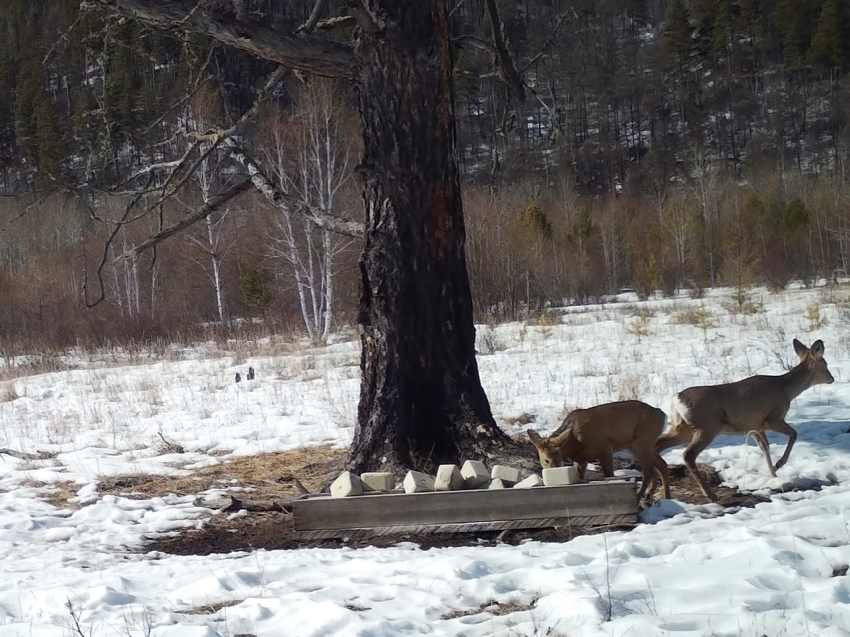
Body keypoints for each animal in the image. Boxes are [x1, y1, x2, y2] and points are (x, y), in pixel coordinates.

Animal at [524, 400, 668, 504]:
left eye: (558, 458)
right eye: (545, 460)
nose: (552, 470)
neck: (575, 441)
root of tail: (662, 415)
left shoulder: (604, 447)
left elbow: (609, 475)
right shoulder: (580, 460)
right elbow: (580, 477)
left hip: (641, 441)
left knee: (649, 472)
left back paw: (638, 499)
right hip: (641, 445)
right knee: (661, 464)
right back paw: (663, 497)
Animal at [652, 338, 832, 502]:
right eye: (825, 363)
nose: (832, 379)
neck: (785, 389)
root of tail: (676, 400)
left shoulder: (756, 427)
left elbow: (765, 448)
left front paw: (773, 474)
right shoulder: (773, 418)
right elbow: (794, 434)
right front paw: (779, 464)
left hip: (684, 428)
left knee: (658, 445)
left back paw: (665, 495)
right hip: (707, 427)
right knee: (688, 454)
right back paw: (710, 495)